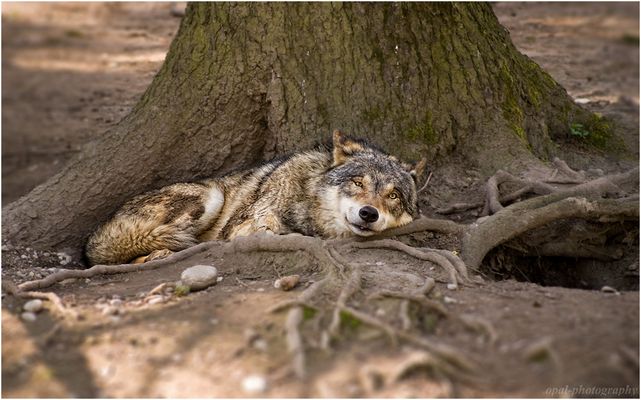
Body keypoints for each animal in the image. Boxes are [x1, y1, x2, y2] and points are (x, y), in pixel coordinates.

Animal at [85, 130, 427, 265]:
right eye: (357, 182)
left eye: (393, 195)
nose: (369, 213)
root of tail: (91, 238)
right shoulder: (245, 226)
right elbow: (270, 231)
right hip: (208, 197)